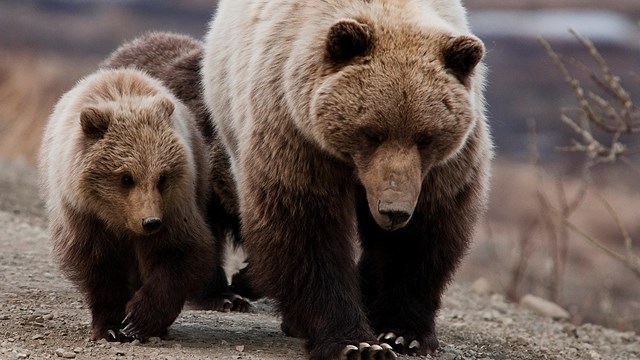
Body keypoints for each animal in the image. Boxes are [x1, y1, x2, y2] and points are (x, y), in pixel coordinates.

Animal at [42, 67, 218, 340]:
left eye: (162, 177)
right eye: (126, 177)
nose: (151, 222)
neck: (120, 221)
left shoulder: (174, 207)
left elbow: (178, 253)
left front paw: (139, 320)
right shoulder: (84, 217)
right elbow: (99, 268)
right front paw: (111, 326)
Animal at [202, 1, 492, 358]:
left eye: (425, 137)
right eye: (371, 133)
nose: (393, 211)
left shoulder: (441, 168)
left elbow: (422, 237)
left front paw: (401, 333)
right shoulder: (297, 135)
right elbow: (307, 230)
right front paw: (355, 341)